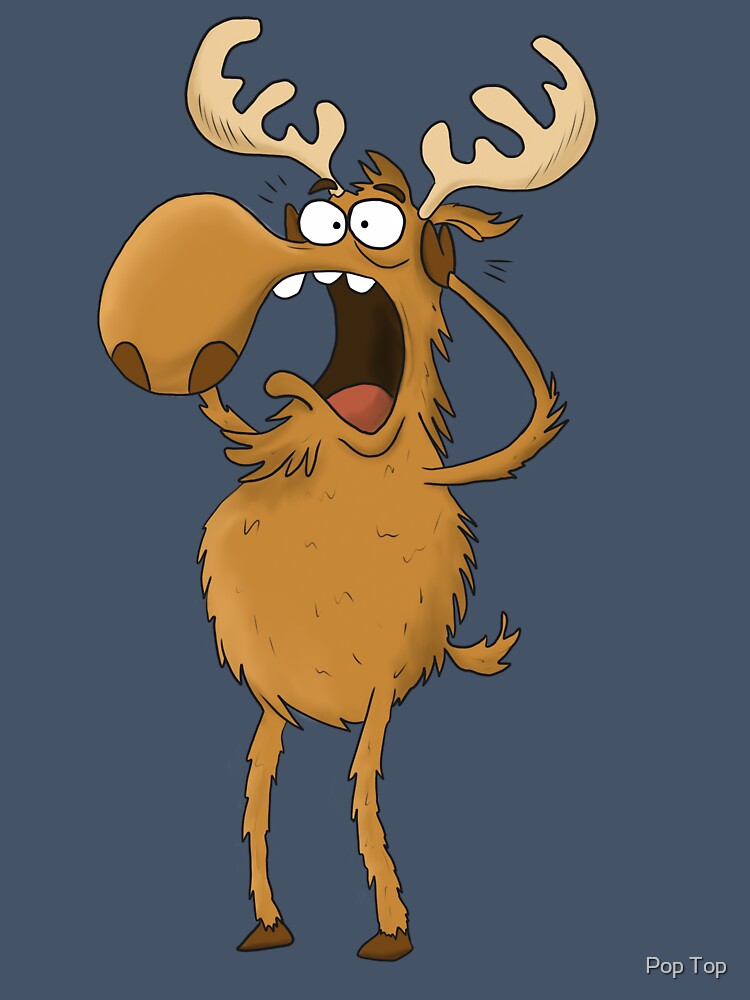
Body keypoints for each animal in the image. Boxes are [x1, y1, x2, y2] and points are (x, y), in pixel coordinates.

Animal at [99, 18, 595, 961]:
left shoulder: (383, 681)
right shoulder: (264, 683)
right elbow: (258, 786)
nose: (311, 239)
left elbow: (363, 783)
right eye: (326, 216)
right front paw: (268, 914)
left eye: (379, 225)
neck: (340, 482)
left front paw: (391, 919)